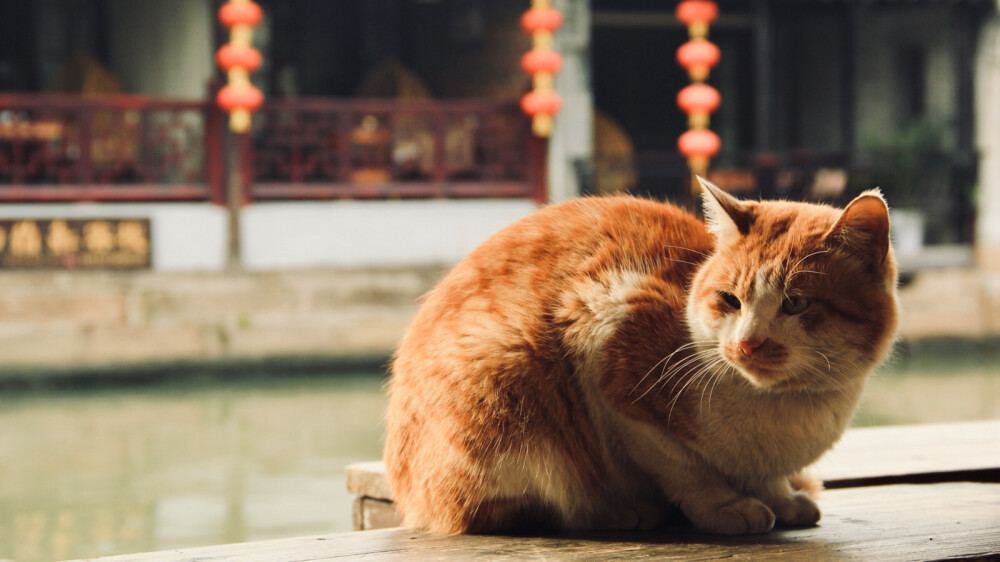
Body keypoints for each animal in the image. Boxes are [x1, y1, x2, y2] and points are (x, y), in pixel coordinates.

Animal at [382, 178, 900, 532]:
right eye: (730, 300)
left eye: (795, 303)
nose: (746, 343)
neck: (785, 416)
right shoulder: (604, 341)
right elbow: (684, 468)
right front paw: (725, 507)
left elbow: (765, 480)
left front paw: (781, 497)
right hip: (507, 377)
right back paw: (624, 510)